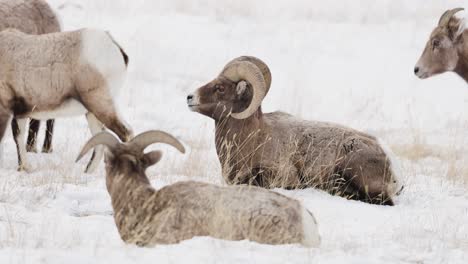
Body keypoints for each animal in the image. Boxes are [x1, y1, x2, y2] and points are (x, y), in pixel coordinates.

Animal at [0, 27, 133, 172]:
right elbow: (19, 138)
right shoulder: (20, 114)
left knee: (126, 133)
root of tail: (116, 47)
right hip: (93, 112)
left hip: (101, 105)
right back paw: (86, 172)